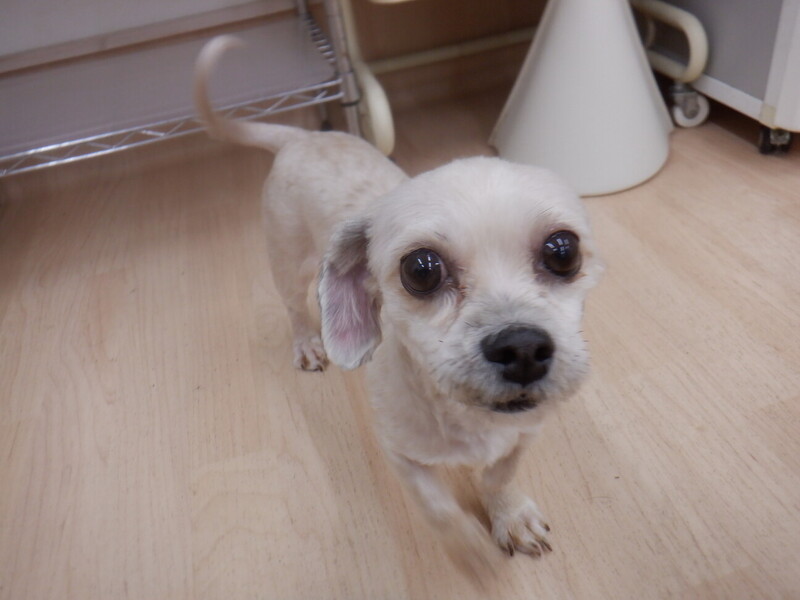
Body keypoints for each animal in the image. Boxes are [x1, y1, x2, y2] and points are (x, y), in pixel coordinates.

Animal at [195, 36, 602, 580]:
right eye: (421, 269)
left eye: (563, 250)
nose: (521, 348)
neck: (467, 418)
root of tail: (301, 138)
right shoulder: (402, 455)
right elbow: (439, 509)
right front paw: (469, 554)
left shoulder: (522, 436)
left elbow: (497, 477)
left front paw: (509, 516)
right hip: (288, 263)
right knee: (296, 310)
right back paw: (307, 344)